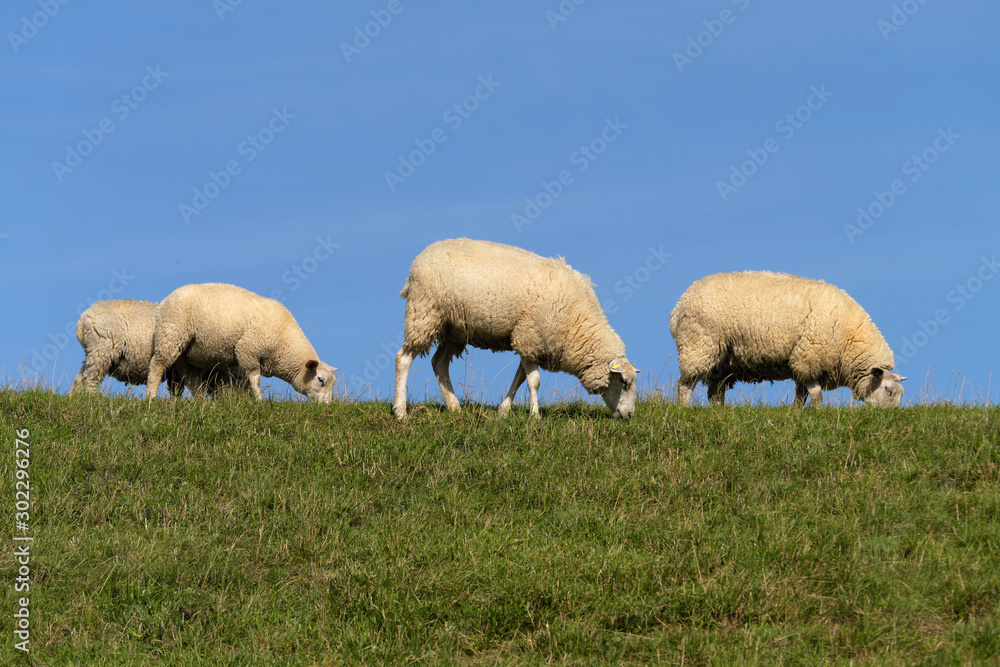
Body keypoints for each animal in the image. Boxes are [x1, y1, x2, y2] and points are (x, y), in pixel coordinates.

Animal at [69, 299, 249, 397]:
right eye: (240, 381)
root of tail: (84, 318)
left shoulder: (174, 372)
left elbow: (177, 390)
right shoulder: (180, 366)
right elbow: (189, 386)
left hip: (93, 352)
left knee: (81, 376)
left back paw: (75, 398)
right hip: (103, 350)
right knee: (91, 378)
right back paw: (93, 399)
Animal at [144, 283, 337, 403]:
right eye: (320, 380)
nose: (327, 405)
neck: (284, 342)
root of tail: (163, 303)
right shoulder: (248, 349)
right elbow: (255, 379)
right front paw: (259, 400)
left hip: (189, 352)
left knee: (190, 376)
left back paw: (201, 401)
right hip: (171, 334)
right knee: (157, 365)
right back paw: (150, 397)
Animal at [392, 238, 638, 420]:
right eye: (623, 382)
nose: (629, 416)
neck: (576, 322)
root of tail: (419, 259)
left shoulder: (529, 342)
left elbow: (520, 378)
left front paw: (504, 410)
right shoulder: (530, 336)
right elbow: (534, 381)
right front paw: (535, 416)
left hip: (454, 328)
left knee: (439, 363)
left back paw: (454, 407)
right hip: (424, 313)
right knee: (403, 358)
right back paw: (400, 411)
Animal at [669, 271, 906, 407]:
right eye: (888, 390)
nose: (891, 416)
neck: (849, 340)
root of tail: (679, 305)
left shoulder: (803, 363)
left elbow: (802, 395)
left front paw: (797, 413)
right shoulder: (808, 357)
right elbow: (816, 395)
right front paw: (818, 413)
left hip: (723, 360)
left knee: (714, 392)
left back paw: (721, 413)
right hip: (699, 345)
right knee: (685, 384)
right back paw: (684, 409)